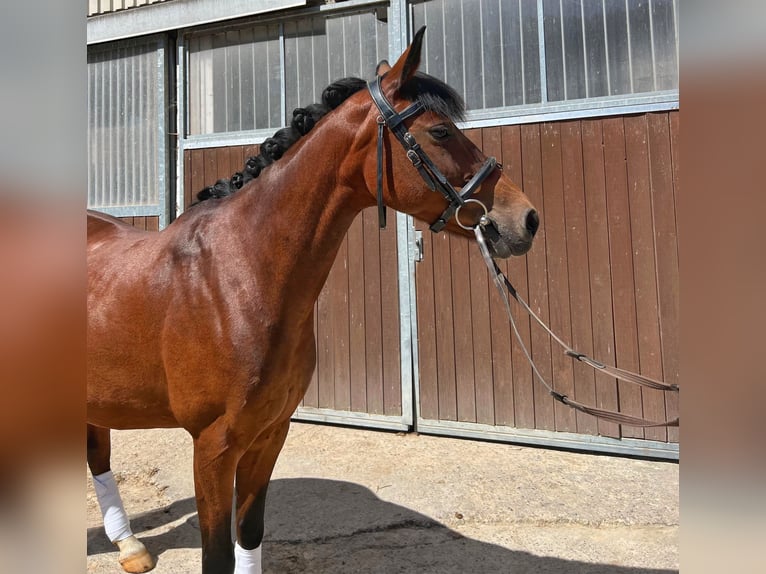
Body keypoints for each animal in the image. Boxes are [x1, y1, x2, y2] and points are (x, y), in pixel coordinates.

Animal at [87, 27, 539, 574]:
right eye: (440, 133)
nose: (527, 219)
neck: (239, 277)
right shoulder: (213, 447)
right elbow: (216, 553)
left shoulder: (269, 434)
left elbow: (250, 532)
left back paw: (130, 547)